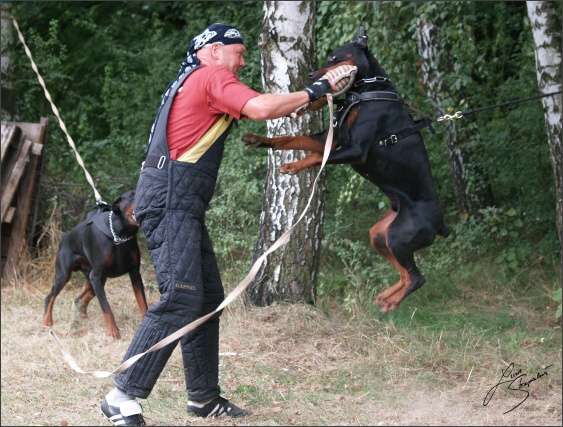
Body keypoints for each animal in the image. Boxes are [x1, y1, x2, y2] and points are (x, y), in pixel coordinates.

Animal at [43, 192, 148, 340]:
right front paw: (113, 332)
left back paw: (82, 318)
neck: (120, 235)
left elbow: (142, 302)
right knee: (50, 297)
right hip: (65, 275)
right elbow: (106, 308)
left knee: (79, 299)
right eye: (131, 196)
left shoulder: (134, 273)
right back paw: (47, 321)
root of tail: (65, 237)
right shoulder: (96, 275)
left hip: (94, 280)